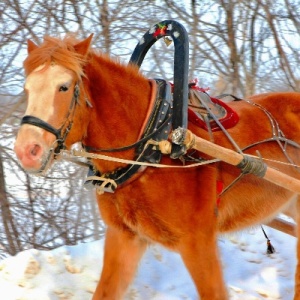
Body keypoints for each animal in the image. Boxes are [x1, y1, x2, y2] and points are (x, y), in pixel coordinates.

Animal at [14, 32, 300, 300]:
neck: (153, 147)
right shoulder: (125, 238)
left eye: (63, 87)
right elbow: (105, 291)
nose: (27, 150)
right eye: (27, 89)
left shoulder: (198, 242)